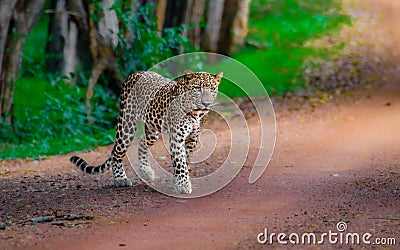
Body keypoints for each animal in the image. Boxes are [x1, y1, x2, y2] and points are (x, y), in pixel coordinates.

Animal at [70, 69, 223, 194]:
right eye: (197, 89)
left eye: (213, 89)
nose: (206, 103)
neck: (196, 113)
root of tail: (134, 73)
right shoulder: (177, 137)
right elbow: (180, 162)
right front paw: (183, 186)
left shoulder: (192, 139)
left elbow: (186, 159)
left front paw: (178, 180)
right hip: (127, 125)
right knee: (116, 152)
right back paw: (120, 179)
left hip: (152, 130)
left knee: (142, 143)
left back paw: (146, 171)